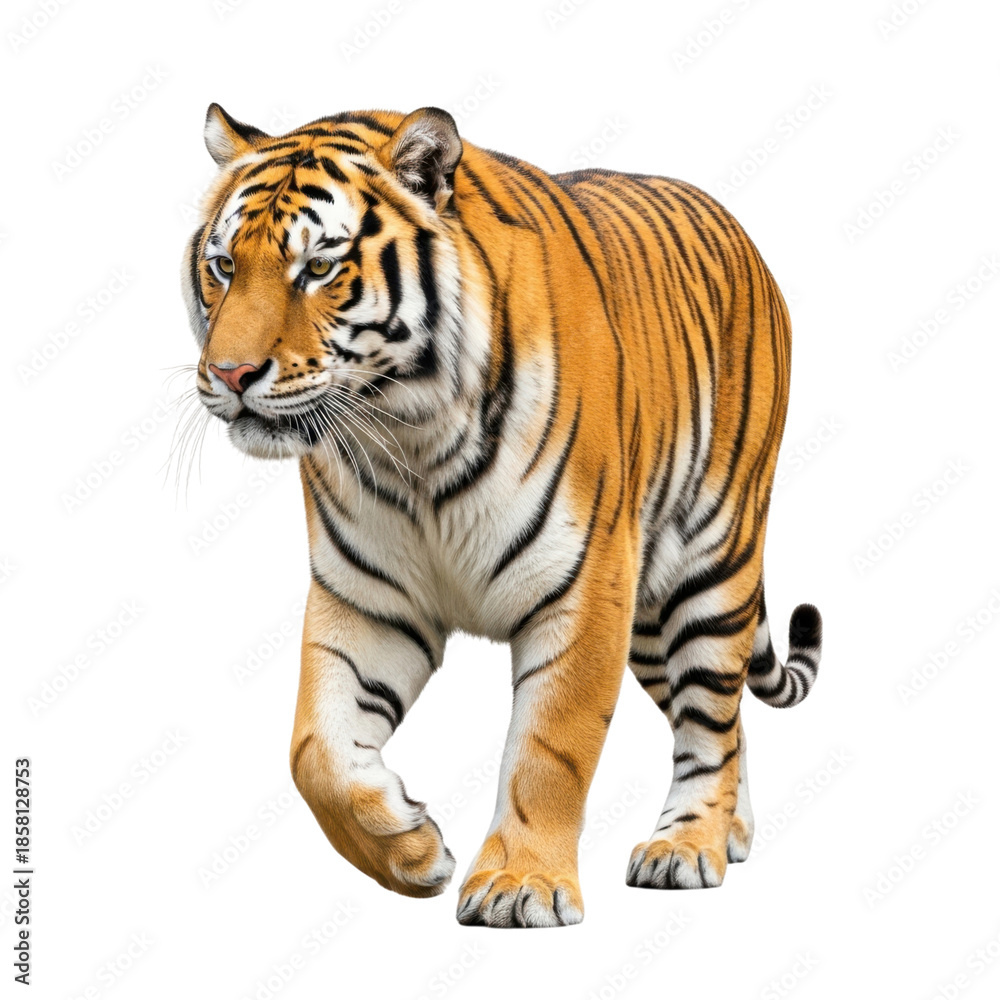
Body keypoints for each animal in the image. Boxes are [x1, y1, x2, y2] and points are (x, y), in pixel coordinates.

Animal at [181, 103, 823, 928]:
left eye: (318, 268)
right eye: (224, 266)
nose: (228, 375)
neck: (405, 433)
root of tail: (736, 226)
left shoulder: (583, 590)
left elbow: (548, 748)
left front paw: (521, 885)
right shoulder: (370, 600)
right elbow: (314, 749)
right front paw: (409, 849)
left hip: (709, 568)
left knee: (711, 714)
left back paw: (687, 845)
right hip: (650, 618)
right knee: (725, 712)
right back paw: (731, 831)